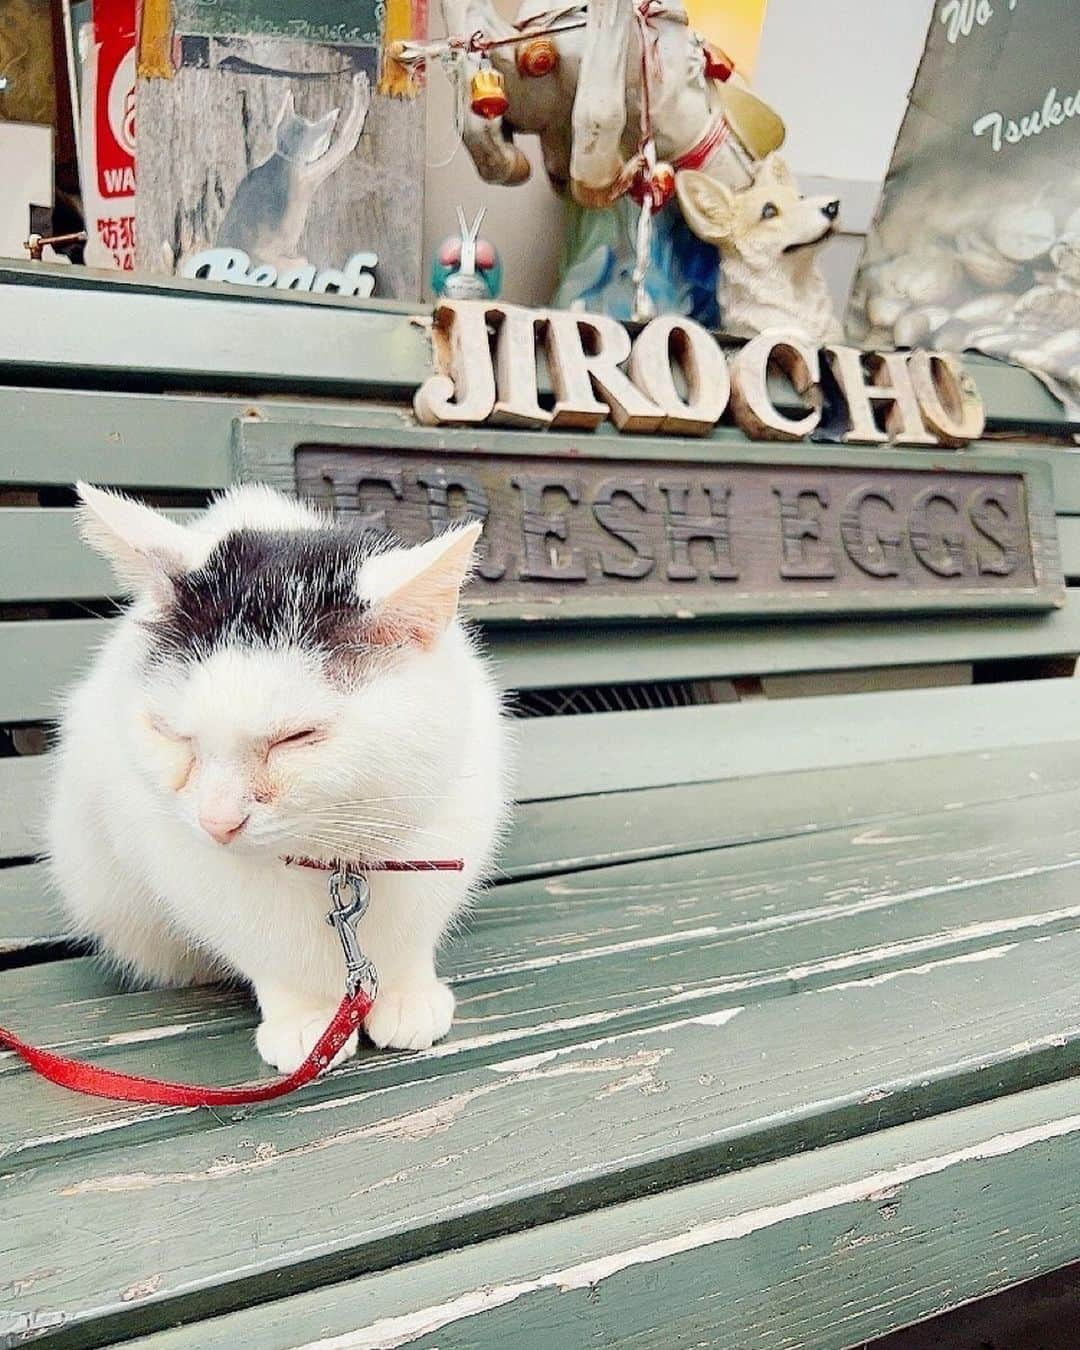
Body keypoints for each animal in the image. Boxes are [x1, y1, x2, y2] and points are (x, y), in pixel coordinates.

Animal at [47, 480, 510, 1069]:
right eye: (173, 735)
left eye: (296, 738)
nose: (217, 822)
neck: (334, 861)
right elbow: (268, 950)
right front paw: (306, 1020)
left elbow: (412, 935)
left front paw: (407, 994)